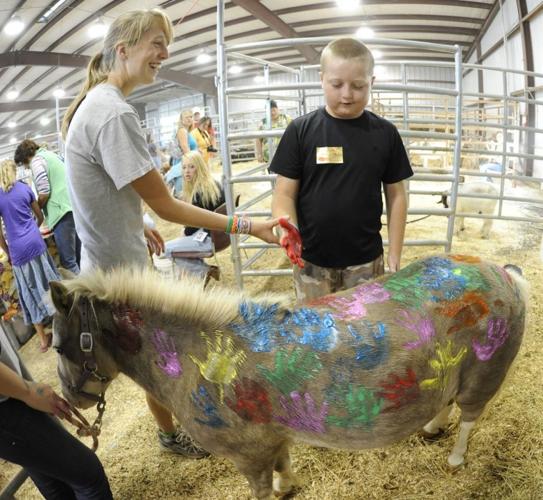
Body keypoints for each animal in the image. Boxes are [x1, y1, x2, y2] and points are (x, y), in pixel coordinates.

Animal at [51, 256, 528, 498]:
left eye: (56, 345)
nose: (72, 399)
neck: (198, 352)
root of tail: (505, 275)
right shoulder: (272, 440)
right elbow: (283, 464)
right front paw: (290, 484)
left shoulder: (250, 455)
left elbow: (263, 489)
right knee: (448, 402)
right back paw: (432, 426)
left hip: (485, 373)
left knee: (470, 416)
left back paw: (456, 458)